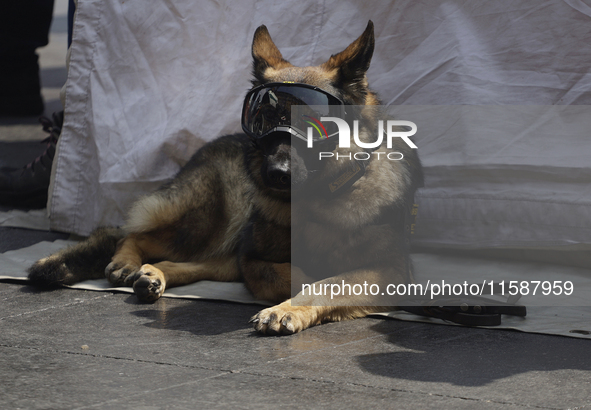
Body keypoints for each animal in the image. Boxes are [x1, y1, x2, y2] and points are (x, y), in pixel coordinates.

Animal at [27, 20, 424, 336]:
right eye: (263, 118)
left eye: (315, 124)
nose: (276, 174)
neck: (317, 200)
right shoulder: (252, 257)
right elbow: (298, 275)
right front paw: (289, 299)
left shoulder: (392, 271)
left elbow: (327, 283)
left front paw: (289, 307)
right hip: (208, 222)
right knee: (128, 233)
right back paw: (128, 262)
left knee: (175, 261)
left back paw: (152, 274)